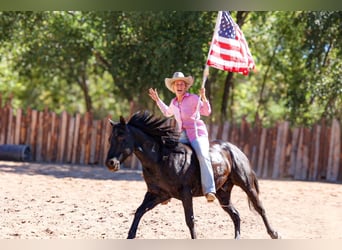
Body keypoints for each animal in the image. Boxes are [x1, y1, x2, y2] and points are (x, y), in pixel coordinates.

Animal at [105, 110, 280, 239]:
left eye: (122, 137)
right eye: (110, 138)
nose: (110, 163)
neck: (162, 158)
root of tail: (234, 148)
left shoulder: (185, 193)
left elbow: (190, 220)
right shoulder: (158, 194)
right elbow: (139, 212)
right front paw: (130, 235)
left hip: (246, 184)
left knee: (259, 207)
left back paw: (274, 233)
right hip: (223, 194)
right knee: (235, 215)